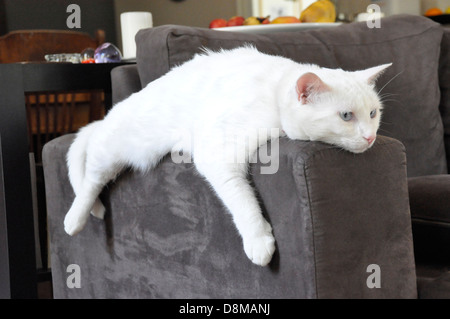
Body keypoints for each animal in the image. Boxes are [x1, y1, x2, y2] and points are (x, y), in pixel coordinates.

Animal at [63, 46, 390, 268]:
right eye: (346, 116)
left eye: (373, 113)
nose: (370, 137)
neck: (274, 93)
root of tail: (107, 116)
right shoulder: (217, 153)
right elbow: (241, 199)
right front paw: (259, 241)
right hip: (114, 150)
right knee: (90, 181)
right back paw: (75, 218)